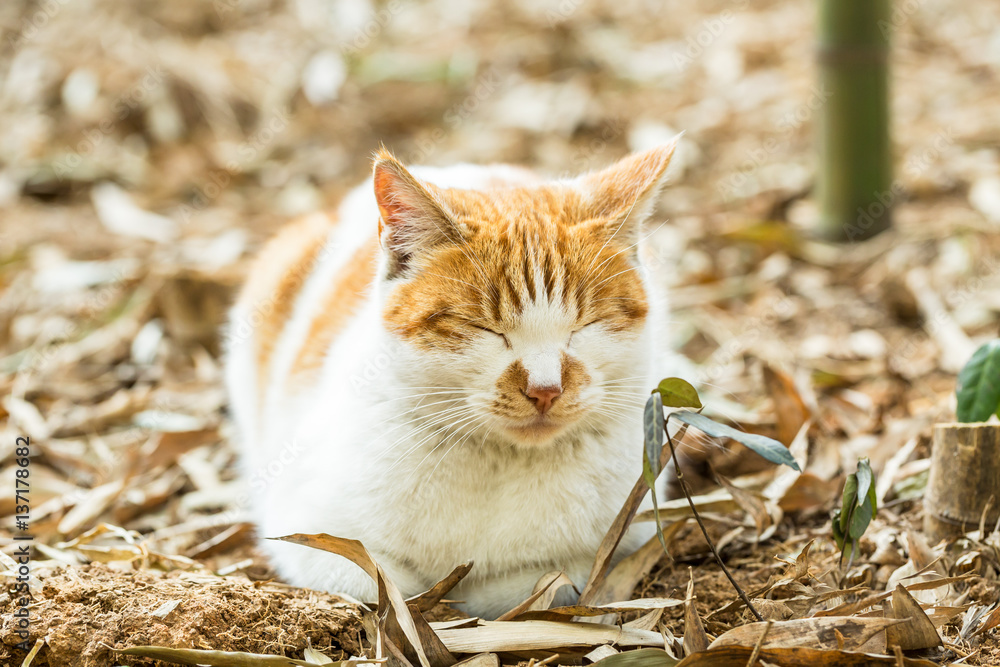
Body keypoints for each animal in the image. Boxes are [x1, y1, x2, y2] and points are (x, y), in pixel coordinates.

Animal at [226, 137, 680, 620]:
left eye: (586, 325)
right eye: (484, 328)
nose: (545, 389)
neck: (500, 462)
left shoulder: (624, 538)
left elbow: (541, 583)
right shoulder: (304, 531)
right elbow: (383, 583)